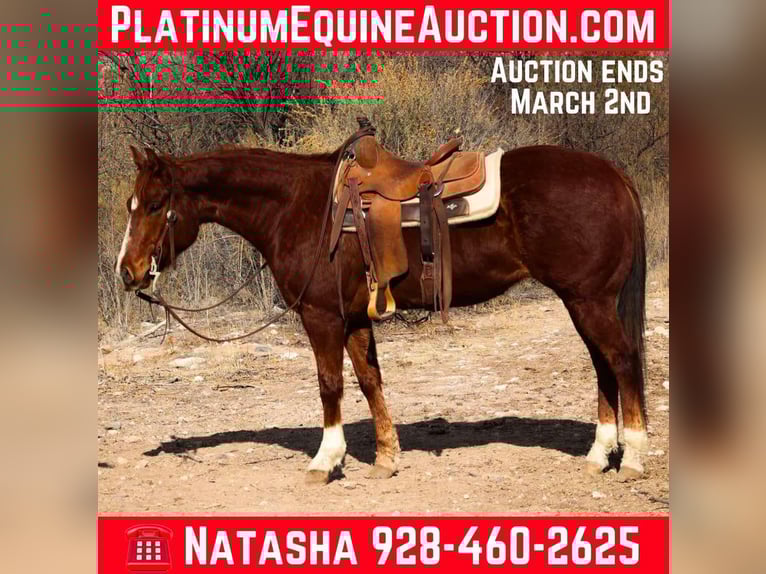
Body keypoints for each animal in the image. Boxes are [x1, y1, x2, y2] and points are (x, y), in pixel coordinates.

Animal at [116, 140, 648, 484]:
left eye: (157, 204)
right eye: (130, 204)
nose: (128, 271)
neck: (299, 208)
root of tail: (614, 174)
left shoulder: (322, 316)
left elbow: (330, 384)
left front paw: (325, 460)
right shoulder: (353, 319)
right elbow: (370, 381)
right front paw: (387, 457)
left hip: (589, 300)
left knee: (622, 362)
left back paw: (634, 457)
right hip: (582, 302)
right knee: (604, 367)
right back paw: (599, 454)